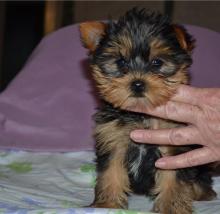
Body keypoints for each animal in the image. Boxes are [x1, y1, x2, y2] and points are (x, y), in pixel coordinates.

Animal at [79, 8, 217, 214]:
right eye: (121, 62)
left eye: (157, 62)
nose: (137, 83)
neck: (142, 114)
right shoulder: (113, 139)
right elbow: (111, 173)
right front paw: (107, 205)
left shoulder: (173, 148)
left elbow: (173, 180)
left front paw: (172, 208)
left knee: (201, 177)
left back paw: (201, 192)